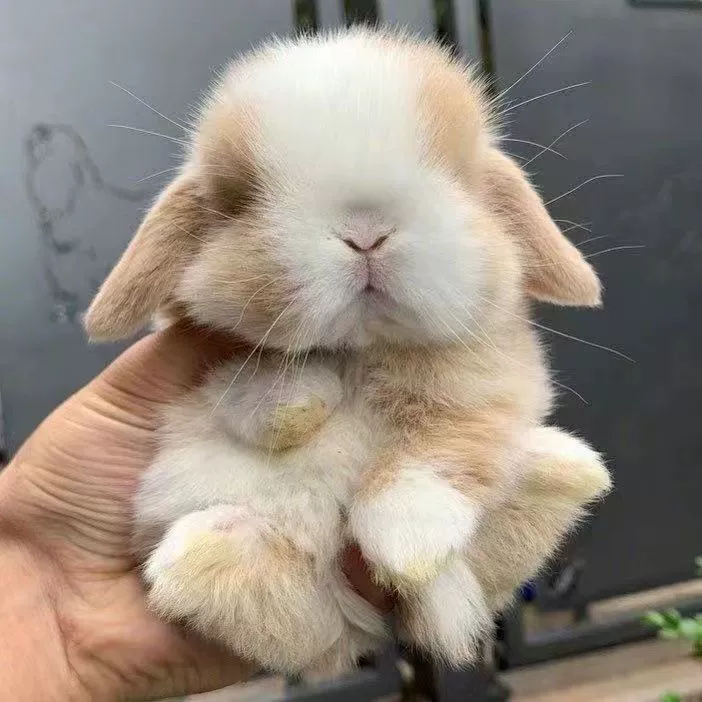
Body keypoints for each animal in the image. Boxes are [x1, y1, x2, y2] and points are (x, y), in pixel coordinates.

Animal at [84, 28, 611, 674]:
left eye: (457, 177)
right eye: (241, 199)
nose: (366, 233)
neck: (361, 349)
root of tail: (358, 630)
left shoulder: (493, 382)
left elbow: (444, 443)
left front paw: (409, 541)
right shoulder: (212, 366)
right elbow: (252, 386)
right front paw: (301, 402)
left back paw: (565, 475)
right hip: (279, 593)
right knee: (263, 604)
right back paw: (205, 551)